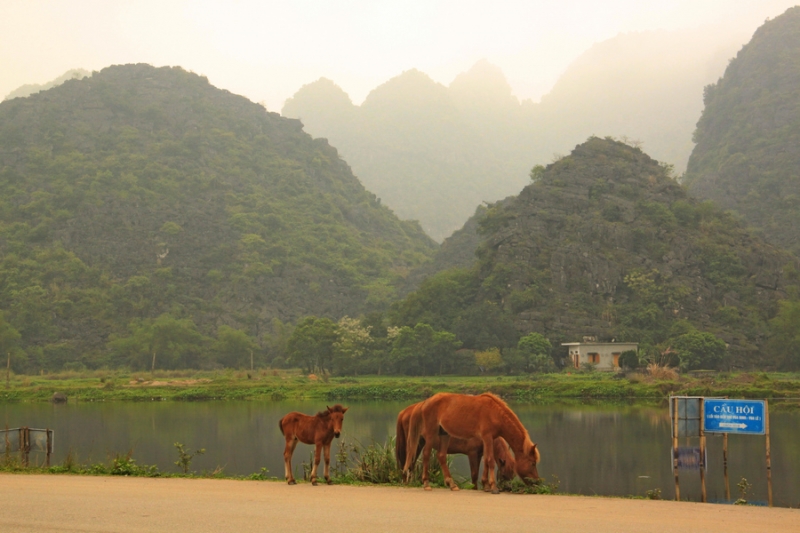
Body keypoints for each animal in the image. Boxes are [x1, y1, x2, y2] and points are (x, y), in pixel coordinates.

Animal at [404, 390, 540, 494]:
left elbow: (486, 461)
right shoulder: (487, 437)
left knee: (441, 456)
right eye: (533, 463)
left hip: (444, 434)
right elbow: (490, 461)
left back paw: (452, 484)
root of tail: (424, 402)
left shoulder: (487, 441)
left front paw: (486, 486)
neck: (495, 413)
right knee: (426, 455)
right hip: (431, 434)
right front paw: (493, 487)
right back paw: (426, 483)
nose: (537, 482)